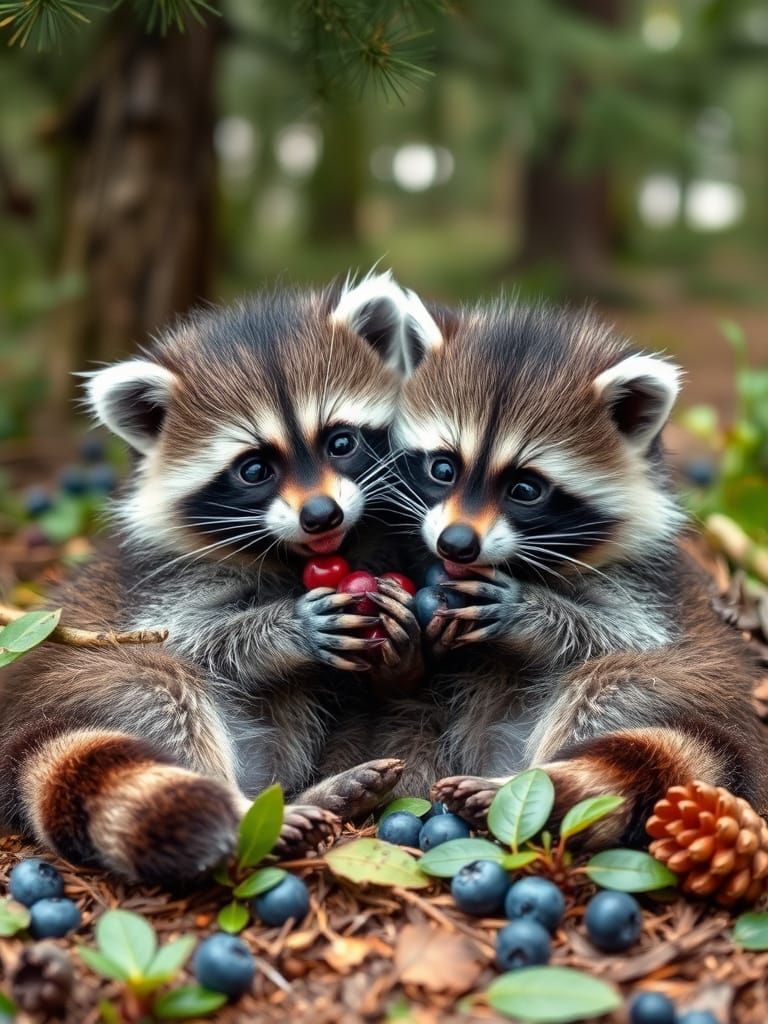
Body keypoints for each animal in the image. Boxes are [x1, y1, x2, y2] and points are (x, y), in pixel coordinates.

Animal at [0, 274, 434, 886]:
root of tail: (19, 726)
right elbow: (189, 638)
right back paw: (249, 810)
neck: (296, 555)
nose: (321, 514)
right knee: (161, 689)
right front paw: (284, 628)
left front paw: (402, 650)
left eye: (340, 441)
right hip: (88, 678)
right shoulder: (161, 582)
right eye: (254, 469)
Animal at [383, 297, 768, 844]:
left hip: (687, 686)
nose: (455, 543)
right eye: (443, 468)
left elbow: (624, 637)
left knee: (610, 686)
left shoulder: (650, 590)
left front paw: (529, 613)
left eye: (525, 489)